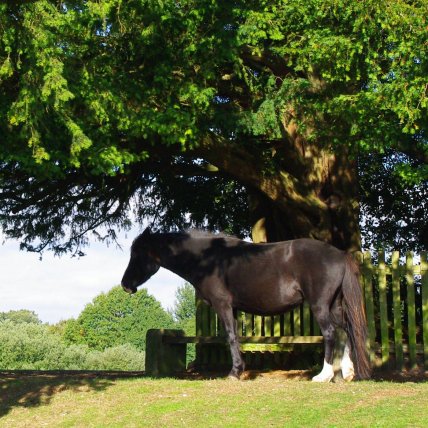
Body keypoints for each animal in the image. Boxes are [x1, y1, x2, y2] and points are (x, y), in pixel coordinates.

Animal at [121, 229, 372, 380]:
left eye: (138, 255)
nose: (125, 285)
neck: (208, 259)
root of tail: (339, 254)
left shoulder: (222, 305)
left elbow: (230, 337)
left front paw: (234, 373)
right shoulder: (233, 308)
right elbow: (237, 337)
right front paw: (240, 369)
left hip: (320, 305)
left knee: (330, 333)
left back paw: (324, 375)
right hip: (335, 305)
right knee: (345, 330)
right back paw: (348, 373)